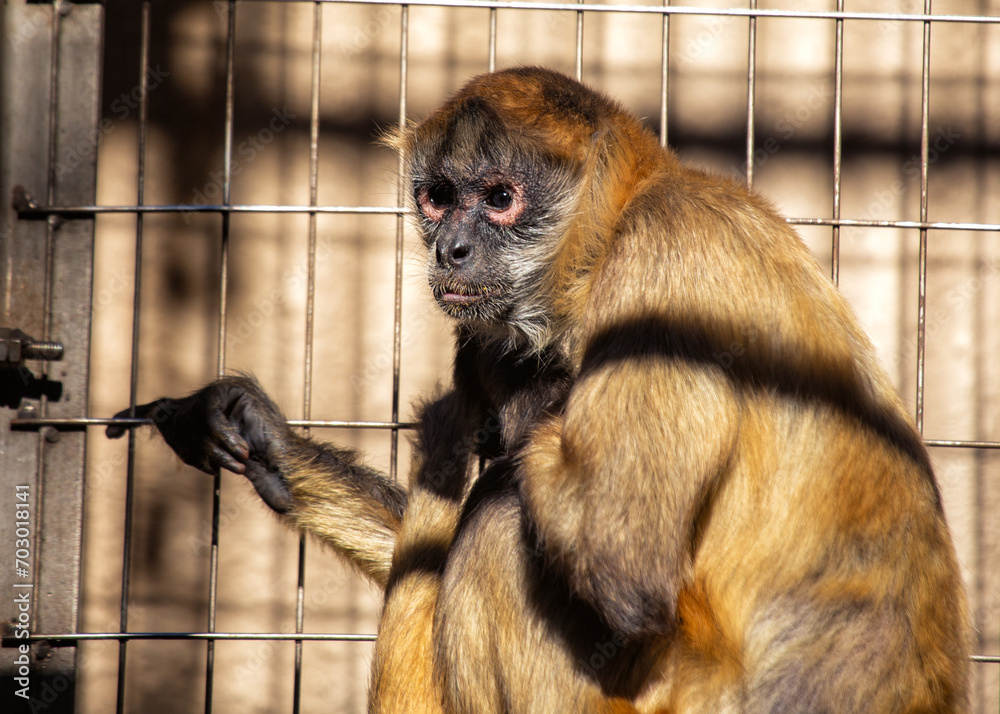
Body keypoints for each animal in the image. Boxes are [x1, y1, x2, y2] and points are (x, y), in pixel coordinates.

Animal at [107, 66, 971, 713]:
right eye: (438, 197)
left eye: (499, 198)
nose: (451, 249)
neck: (620, 223)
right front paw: (255, 431)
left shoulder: (664, 259)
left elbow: (624, 570)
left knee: (497, 517)